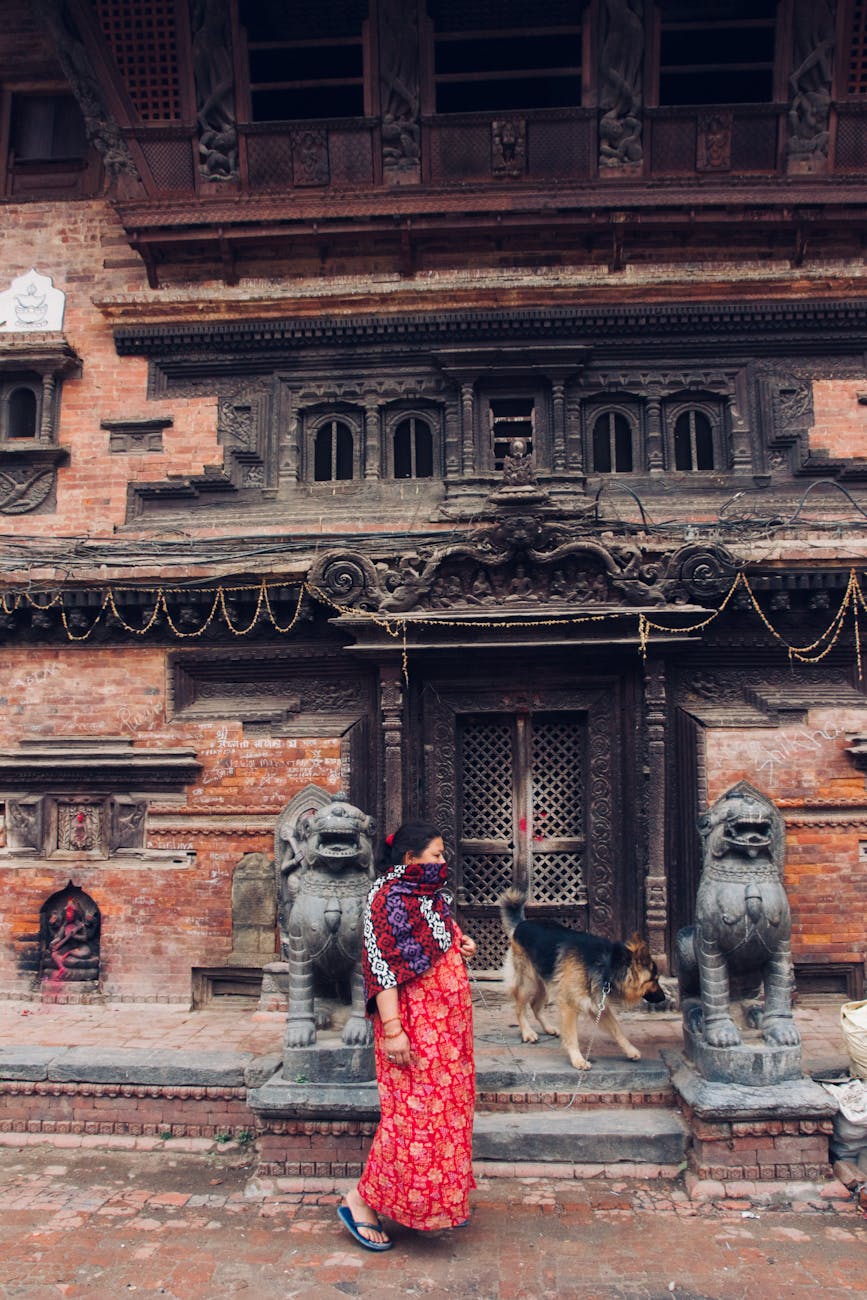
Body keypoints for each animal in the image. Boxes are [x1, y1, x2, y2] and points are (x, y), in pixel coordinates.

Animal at [499, 889, 670, 1071]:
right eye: (654, 980)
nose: (664, 998)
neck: (608, 964)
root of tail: (521, 924)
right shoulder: (570, 1006)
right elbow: (572, 1037)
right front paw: (577, 1059)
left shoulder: (598, 1005)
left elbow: (617, 1030)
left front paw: (630, 1050)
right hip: (529, 983)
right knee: (520, 1008)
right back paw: (527, 1032)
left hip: (546, 983)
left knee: (535, 1006)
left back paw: (549, 1028)